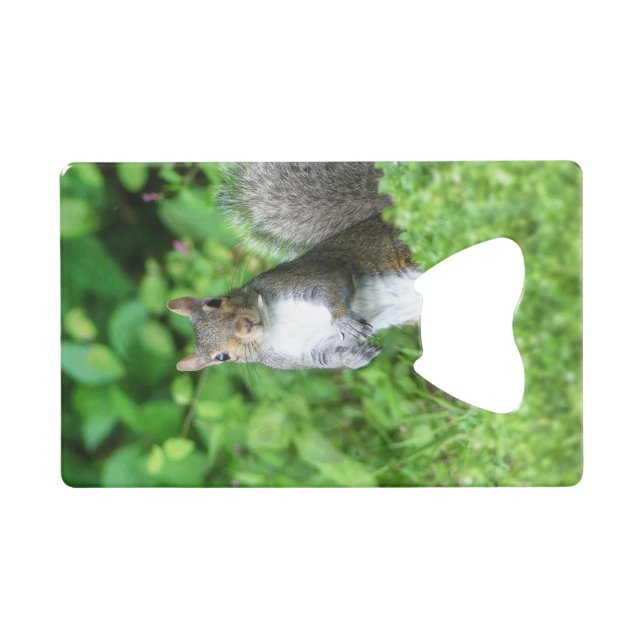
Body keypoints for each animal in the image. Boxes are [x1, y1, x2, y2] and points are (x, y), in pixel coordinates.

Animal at [167, 162, 422, 371]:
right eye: (221, 357)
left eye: (215, 302)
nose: (245, 325)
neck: (272, 326)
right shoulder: (302, 356)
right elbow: (327, 359)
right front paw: (354, 358)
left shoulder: (298, 278)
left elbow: (330, 284)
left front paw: (341, 319)